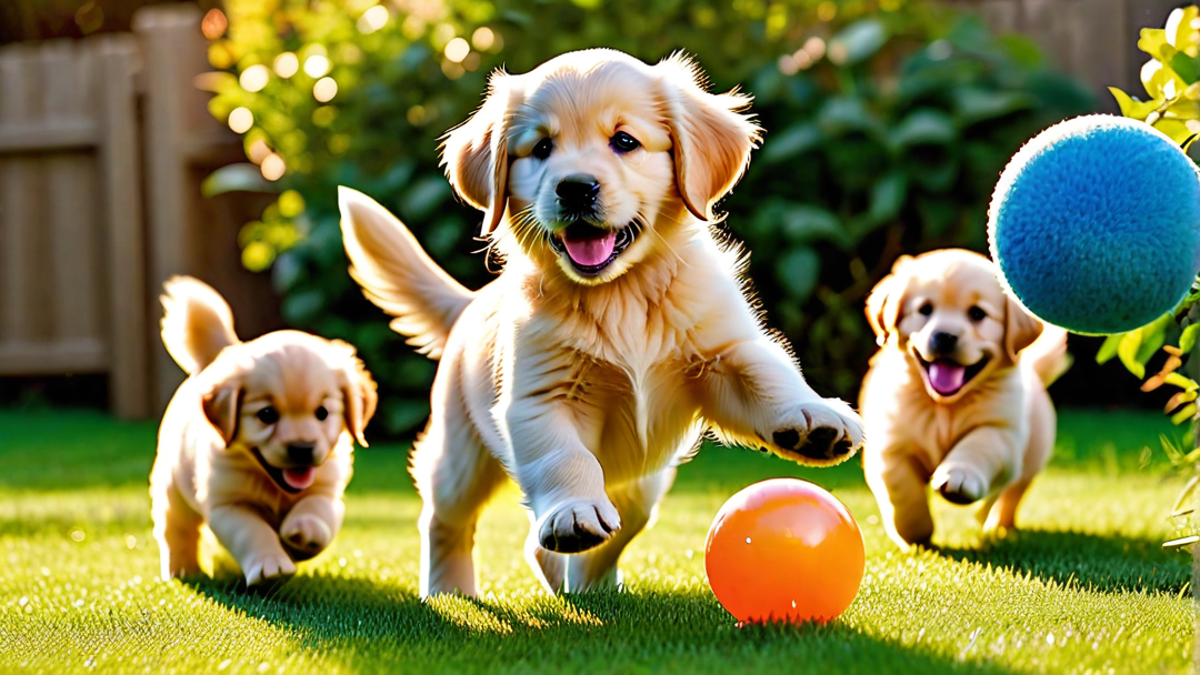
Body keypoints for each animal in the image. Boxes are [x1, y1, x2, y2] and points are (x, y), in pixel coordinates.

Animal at [151, 273, 374, 583]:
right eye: (266, 415)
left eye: (323, 413)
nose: (302, 449)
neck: (274, 485)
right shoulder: (228, 505)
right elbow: (254, 533)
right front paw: (271, 565)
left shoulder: (328, 490)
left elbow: (316, 508)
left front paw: (305, 531)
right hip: (174, 491)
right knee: (177, 529)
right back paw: (184, 569)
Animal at [338, 48, 864, 593]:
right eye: (541, 147)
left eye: (625, 141)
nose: (575, 188)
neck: (620, 294)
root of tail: (472, 303)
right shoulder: (541, 395)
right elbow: (566, 459)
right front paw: (573, 512)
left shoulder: (720, 352)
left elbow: (766, 376)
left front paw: (813, 417)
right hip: (459, 450)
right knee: (446, 519)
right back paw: (450, 589)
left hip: (643, 485)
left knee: (594, 536)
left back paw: (593, 592)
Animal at [859, 249, 1065, 550]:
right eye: (925, 310)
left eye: (978, 314)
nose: (944, 336)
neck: (944, 407)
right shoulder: (890, 442)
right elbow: (901, 487)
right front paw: (915, 532)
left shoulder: (1001, 432)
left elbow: (977, 446)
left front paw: (958, 476)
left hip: (1033, 455)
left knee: (1012, 492)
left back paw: (997, 524)